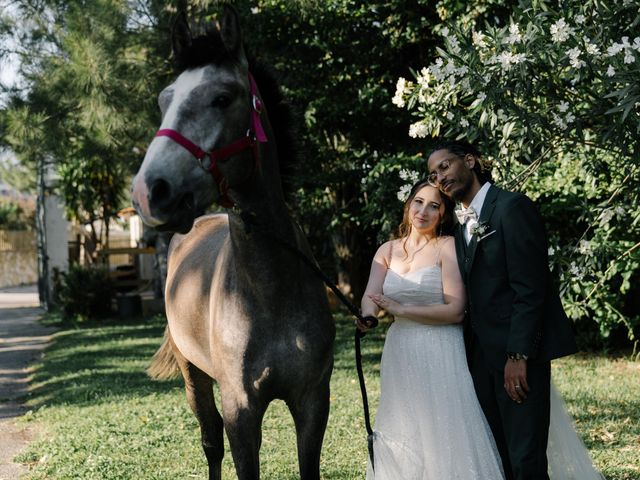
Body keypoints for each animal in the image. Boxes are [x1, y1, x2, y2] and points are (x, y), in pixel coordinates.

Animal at [133, 7, 338, 480]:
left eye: (223, 98)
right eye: (164, 101)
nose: (150, 191)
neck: (269, 290)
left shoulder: (313, 402)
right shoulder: (240, 412)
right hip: (194, 377)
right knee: (210, 444)